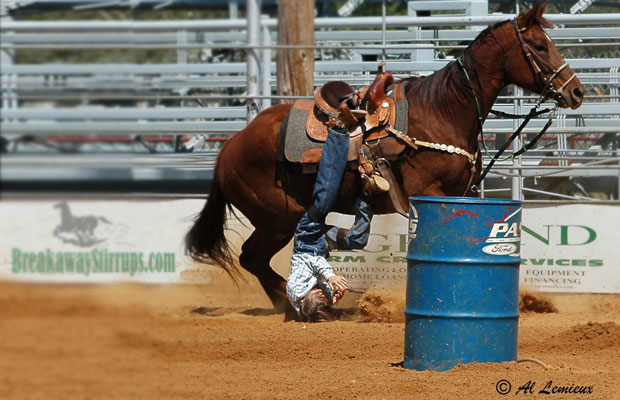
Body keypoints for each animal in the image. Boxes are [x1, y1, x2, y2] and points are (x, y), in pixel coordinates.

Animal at [186, 3, 584, 316]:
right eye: (539, 45)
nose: (576, 91)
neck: (442, 111)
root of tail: (228, 149)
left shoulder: (462, 193)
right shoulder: (430, 192)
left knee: (256, 259)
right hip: (278, 218)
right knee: (252, 257)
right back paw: (304, 304)